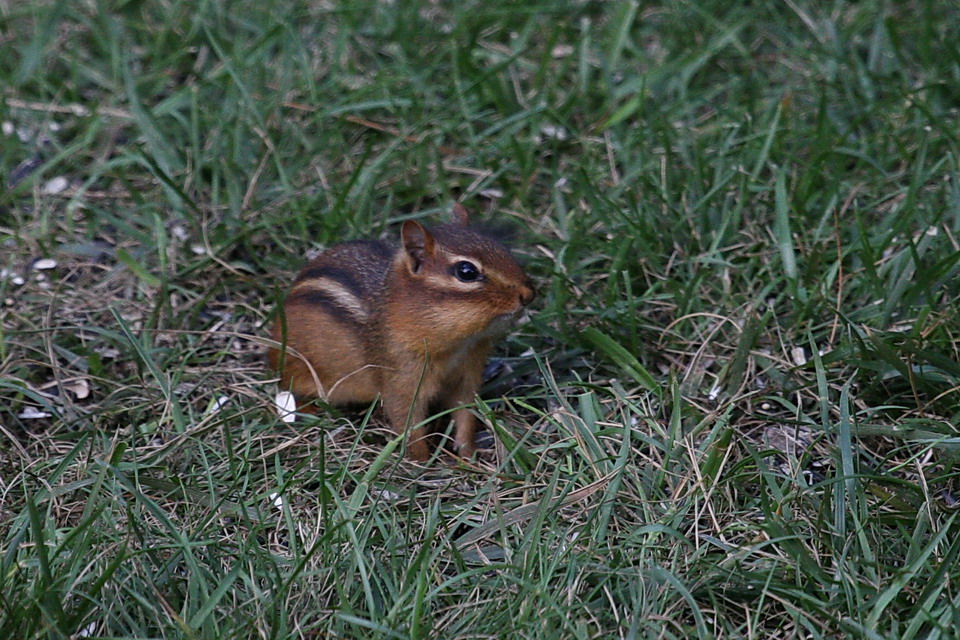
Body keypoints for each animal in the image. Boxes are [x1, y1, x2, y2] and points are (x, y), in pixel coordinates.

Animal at [268, 204, 535, 461]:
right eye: (466, 271)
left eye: (502, 249)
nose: (529, 294)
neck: (460, 345)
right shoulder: (402, 378)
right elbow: (408, 424)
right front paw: (421, 463)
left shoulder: (466, 375)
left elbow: (465, 414)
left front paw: (468, 455)